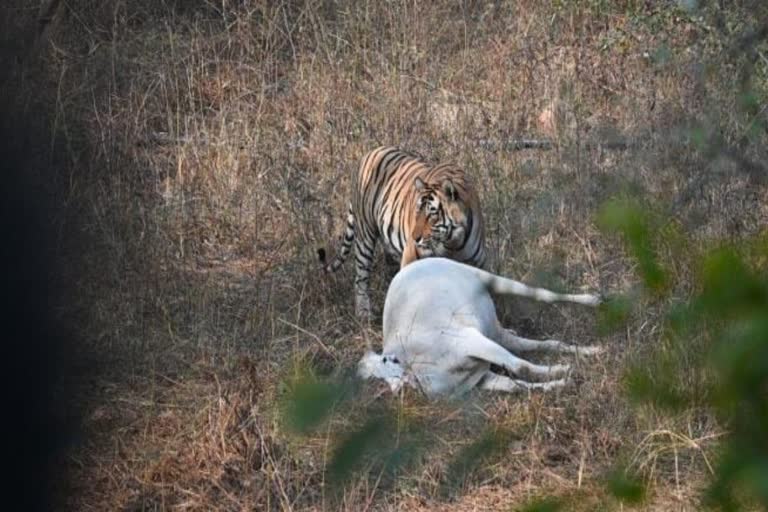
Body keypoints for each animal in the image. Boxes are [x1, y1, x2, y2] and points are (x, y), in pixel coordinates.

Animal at [318, 145, 486, 320]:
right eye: (417, 211)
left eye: (432, 213)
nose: (414, 238)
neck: (452, 242)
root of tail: (368, 154)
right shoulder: (413, 256)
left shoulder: (476, 263)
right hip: (365, 235)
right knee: (361, 277)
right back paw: (364, 313)